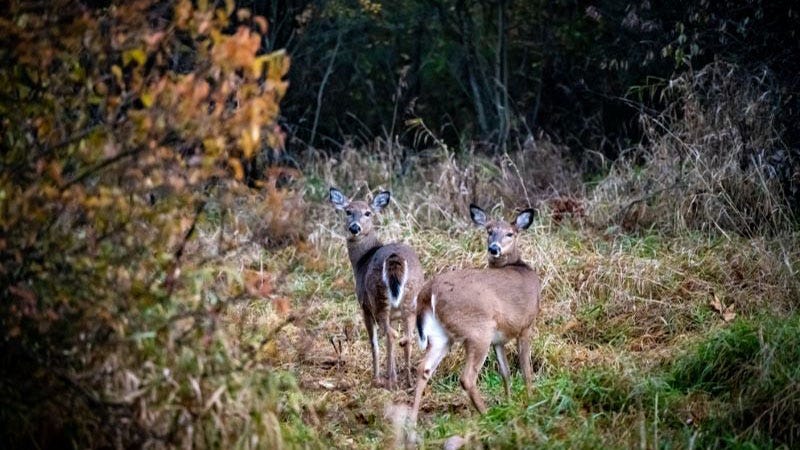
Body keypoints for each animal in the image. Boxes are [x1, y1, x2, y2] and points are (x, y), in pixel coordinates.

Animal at [328, 188, 424, 388]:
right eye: (348, 211)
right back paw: (409, 381)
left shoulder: (364, 306)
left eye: (368, 213)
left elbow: (373, 343)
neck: (361, 261)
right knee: (407, 338)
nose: (354, 228)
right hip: (411, 300)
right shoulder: (394, 315)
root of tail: (395, 258)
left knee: (391, 335)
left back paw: (389, 381)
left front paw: (376, 377)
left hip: (378, 298)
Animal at [412, 204, 544, 422]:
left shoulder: (499, 339)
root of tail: (428, 290)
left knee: (424, 368)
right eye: (489, 231)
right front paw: (531, 403)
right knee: (466, 378)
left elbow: (505, 372)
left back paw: (411, 421)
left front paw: (510, 404)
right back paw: (487, 415)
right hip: (477, 331)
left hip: (441, 335)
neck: (520, 268)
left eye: (509, 233)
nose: (494, 248)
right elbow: (526, 370)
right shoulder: (526, 325)